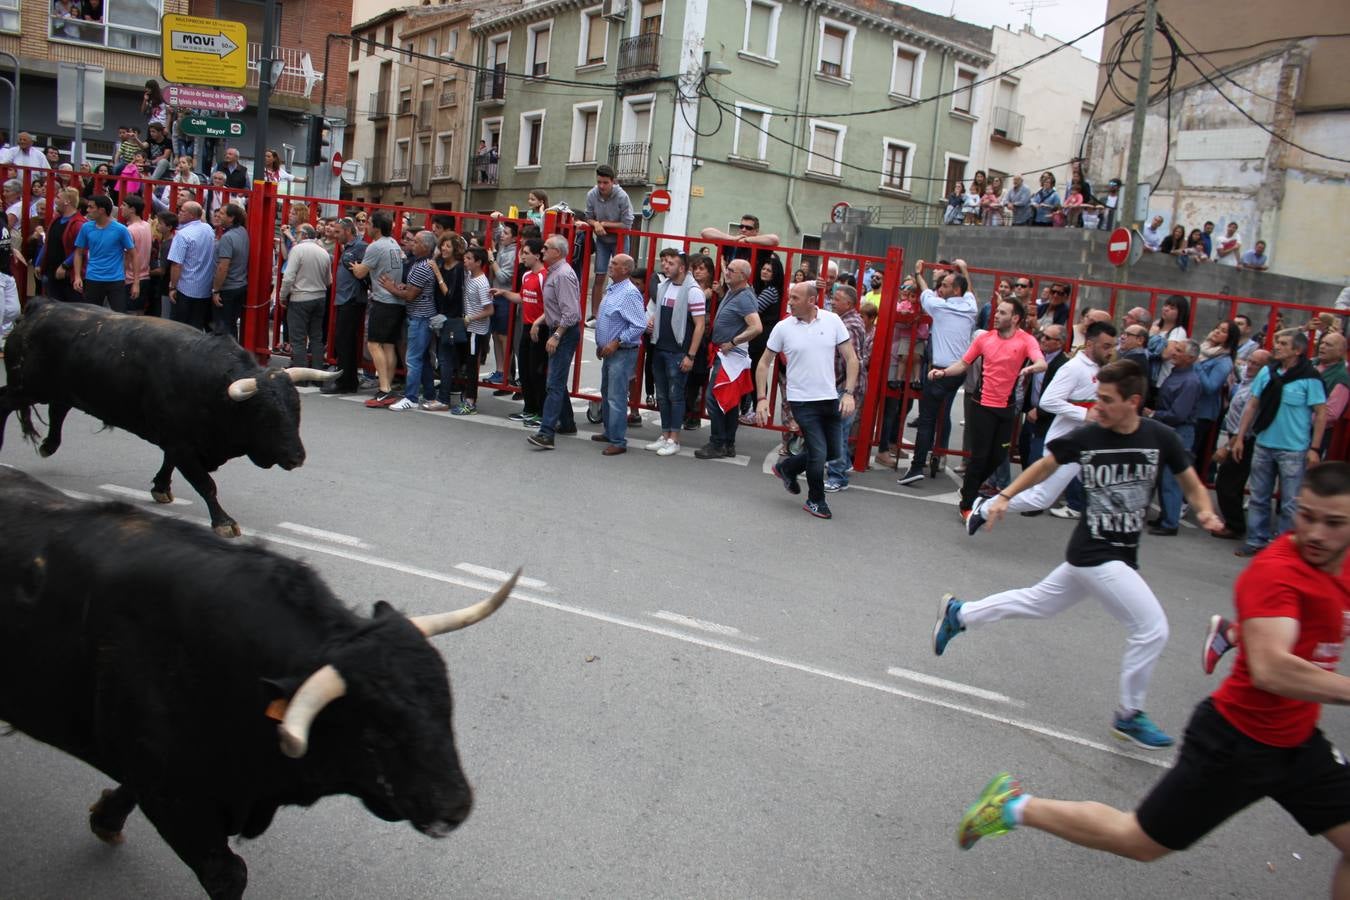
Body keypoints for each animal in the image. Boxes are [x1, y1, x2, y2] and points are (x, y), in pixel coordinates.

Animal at [0, 302, 337, 539]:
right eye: (267, 417)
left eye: (296, 410)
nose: (297, 457)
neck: (213, 386)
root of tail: (40, 307)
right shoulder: (182, 443)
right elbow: (206, 484)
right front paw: (223, 521)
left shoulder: (180, 441)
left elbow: (170, 464)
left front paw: (161, 487)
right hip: (25, 388)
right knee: (7, 403)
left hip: (59, 389)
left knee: (58, 410)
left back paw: (49, 445)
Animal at [0, 472, 515, 900]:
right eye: (377, 735)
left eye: (445, 708)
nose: (457, 807)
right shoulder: (176, 800)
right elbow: (229, 874)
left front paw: (105, 819)